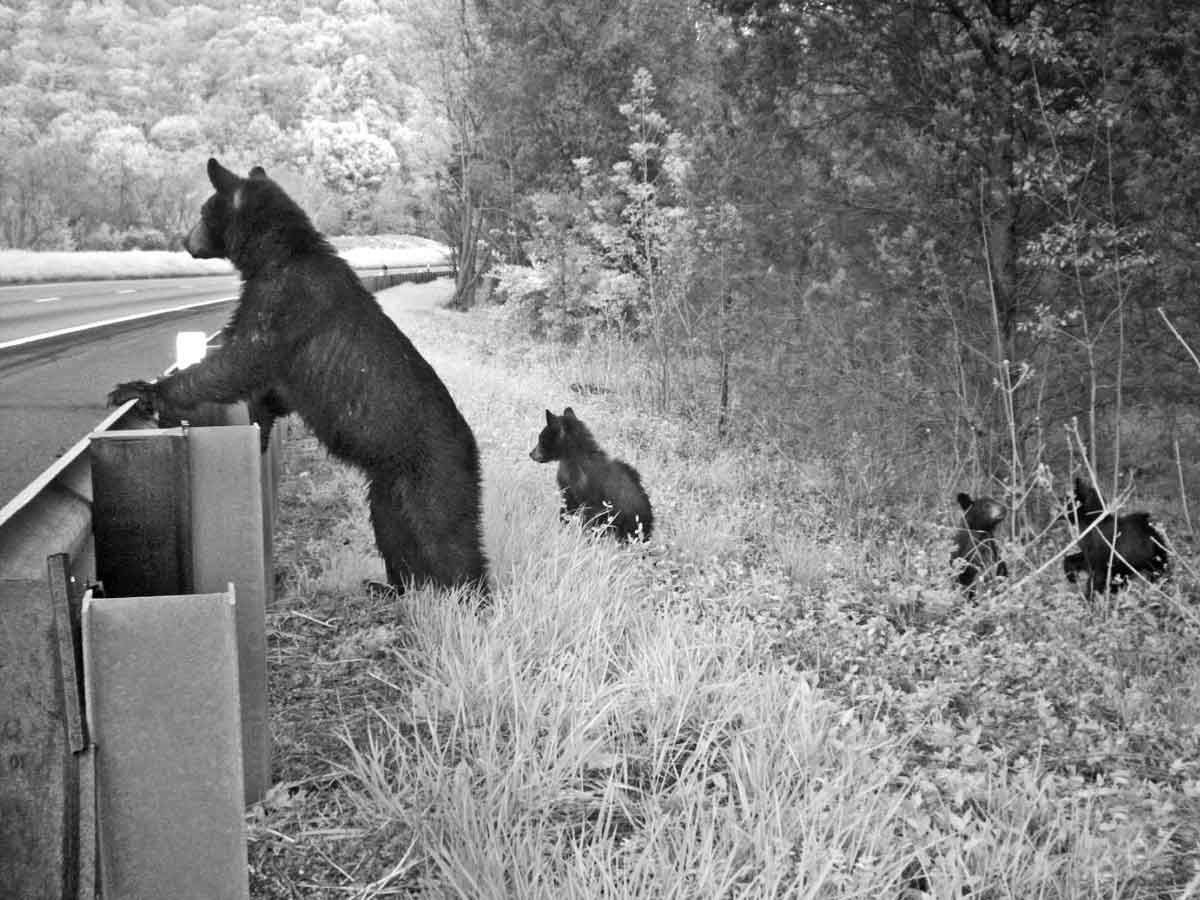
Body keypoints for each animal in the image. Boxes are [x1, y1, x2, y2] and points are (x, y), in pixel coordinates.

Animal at [110, 158, 487, 595]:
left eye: (203, 212)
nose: (186, 241)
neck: (277, 255)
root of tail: (472, 447)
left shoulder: (283, 302)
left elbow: (237, 360)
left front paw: (141, 390)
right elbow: (270, 389)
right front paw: (260, 426)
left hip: (433, 473)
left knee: (445, 535)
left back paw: (471, 595)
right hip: (388, 483)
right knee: (392, 528)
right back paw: (394, 587)